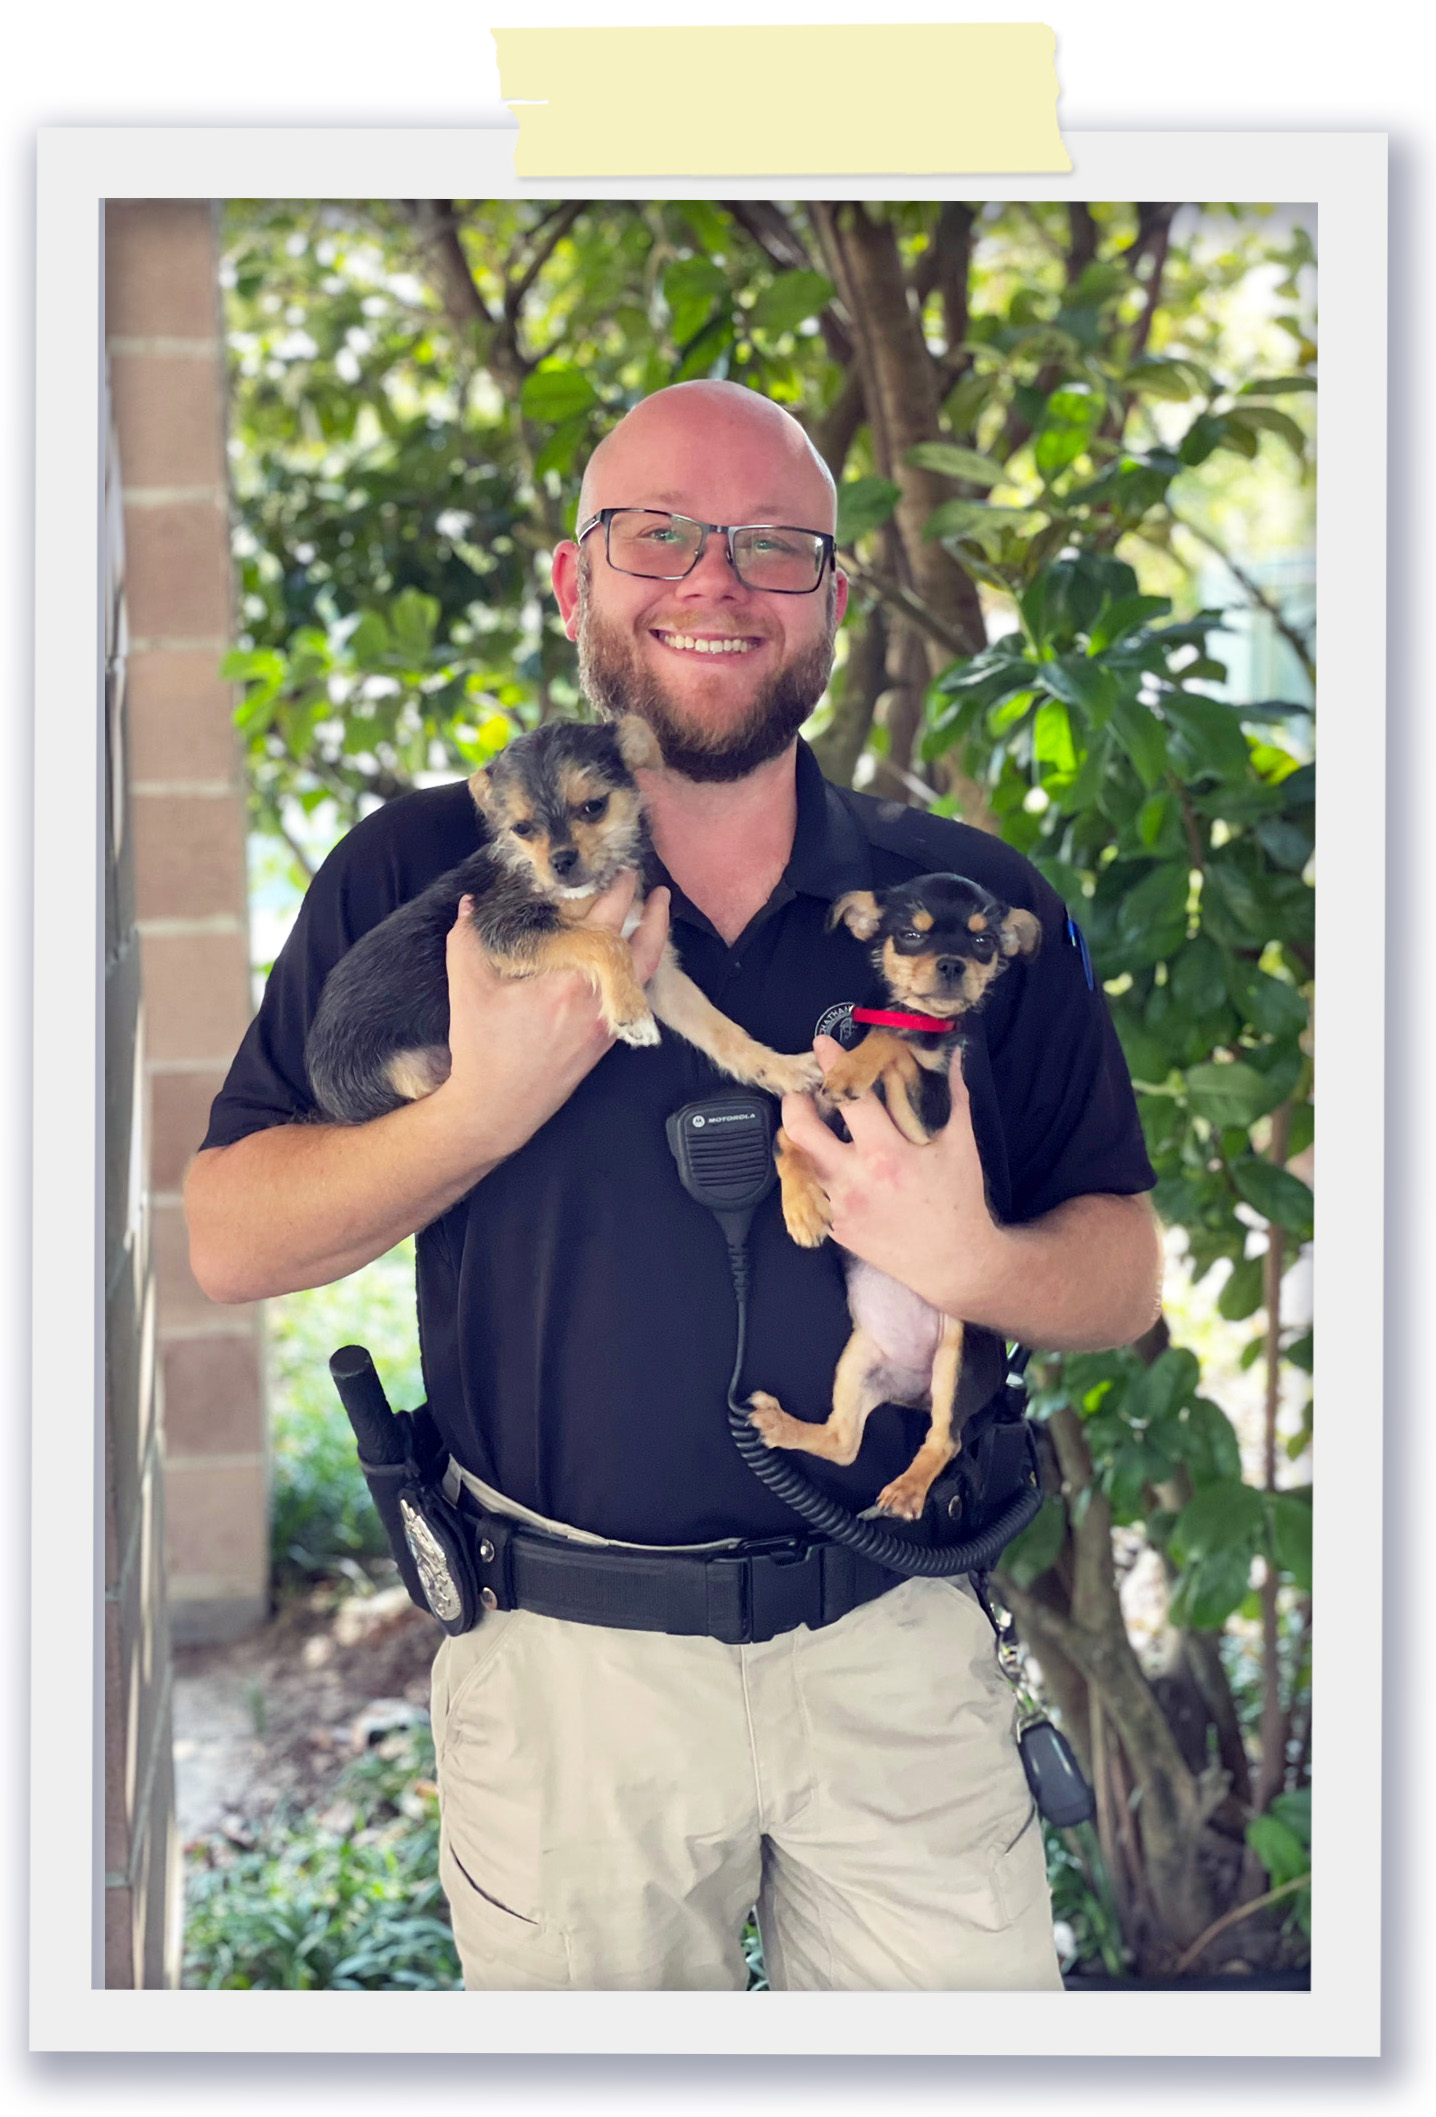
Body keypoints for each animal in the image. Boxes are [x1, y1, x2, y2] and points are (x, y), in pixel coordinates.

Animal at [302, 715, 821, 1126]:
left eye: (594, 806)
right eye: (522, 829)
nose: (561, 863)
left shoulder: (659, 972)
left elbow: (720, 1028)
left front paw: (779, 1067)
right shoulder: (506, 931)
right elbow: (601, 941)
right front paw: (631, 1014)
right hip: (406, 1077)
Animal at [749, 876, 1042, 1524]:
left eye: (983, 941)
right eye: (910, 933)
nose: (954, 963)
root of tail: (915, 1392)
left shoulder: (930, 1115)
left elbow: (895, 1041)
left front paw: (858, 1065)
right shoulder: (815, 1117)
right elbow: (786, 1142)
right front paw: (802, 1209)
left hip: (958, 1355)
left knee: (944, 1438)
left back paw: (908, 1490)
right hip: (858, 1361)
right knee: (844, 1440)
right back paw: (784, 1426)